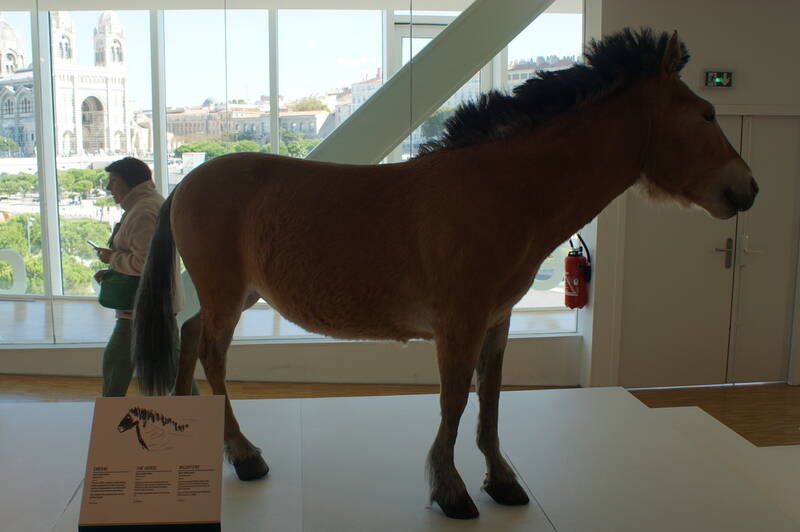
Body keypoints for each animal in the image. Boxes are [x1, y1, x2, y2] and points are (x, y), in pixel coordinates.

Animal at [133, 28, 758, 519]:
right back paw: (244, 455)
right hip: (228, 294)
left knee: (190, 338)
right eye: (706, 114)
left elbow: (491, 401)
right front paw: (451, 488)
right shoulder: (460, 323)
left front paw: (501, 480)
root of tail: (188, 182)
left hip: (235, 296)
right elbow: (455, 401)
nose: (747, 189)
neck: (504, 191)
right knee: (211, 354)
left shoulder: (497, 321)